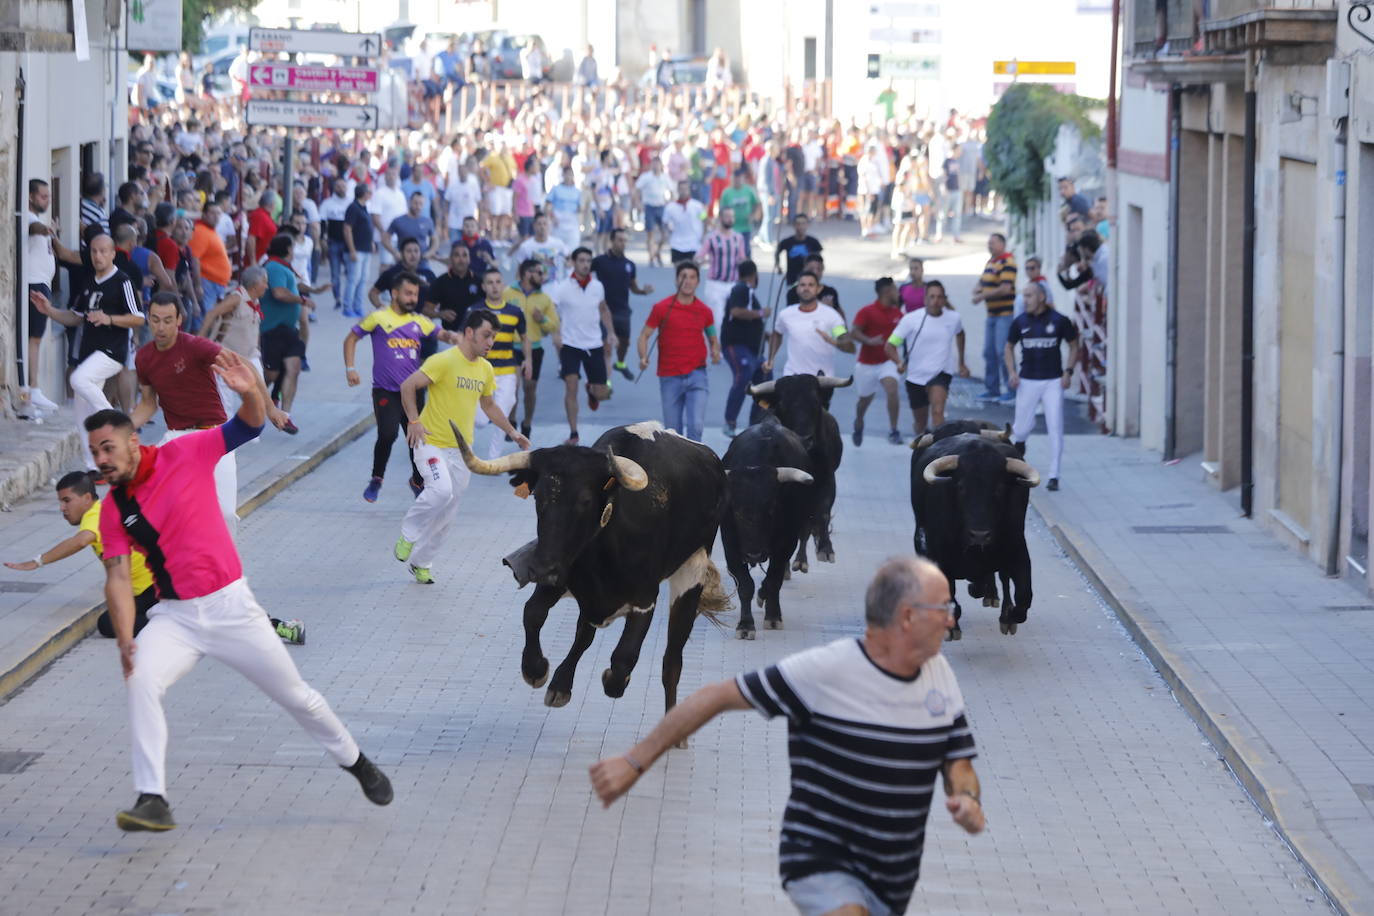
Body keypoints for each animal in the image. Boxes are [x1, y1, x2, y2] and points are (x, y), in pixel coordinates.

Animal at [453, 420, 736, 714]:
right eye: (538, 498)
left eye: (585, 501)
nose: (541, 570)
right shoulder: (562, 573)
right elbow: (533, 613)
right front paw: (536, 669)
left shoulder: (645, 599)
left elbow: (624, 657)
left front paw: (613, 679)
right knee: (584, 633)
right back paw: (560, 686)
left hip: (691, 572)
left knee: (672, 660)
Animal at [719, 414, 813, 637]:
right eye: (736, 510)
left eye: (771, 508)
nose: (754, 554)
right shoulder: (730, 545)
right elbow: (745, 584)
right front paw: (745, 625)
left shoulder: (786, 544)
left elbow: (773, 580)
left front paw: (773, 617)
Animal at [741, 373, 846, 574]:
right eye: (782, 404)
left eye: (815, 401)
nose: (805, 439)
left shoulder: (827, 479)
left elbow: (822, 514)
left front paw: (825, 550)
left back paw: (800, 561)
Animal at [912, 436, 1038, 637]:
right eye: (961, 486)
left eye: (999, 488)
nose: (980, 535)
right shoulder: (940, 557)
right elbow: (950, 594)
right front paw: (952, 627)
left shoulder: (1018, 550)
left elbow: (1024, 595)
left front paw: (1010, 616)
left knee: (1003, 579)